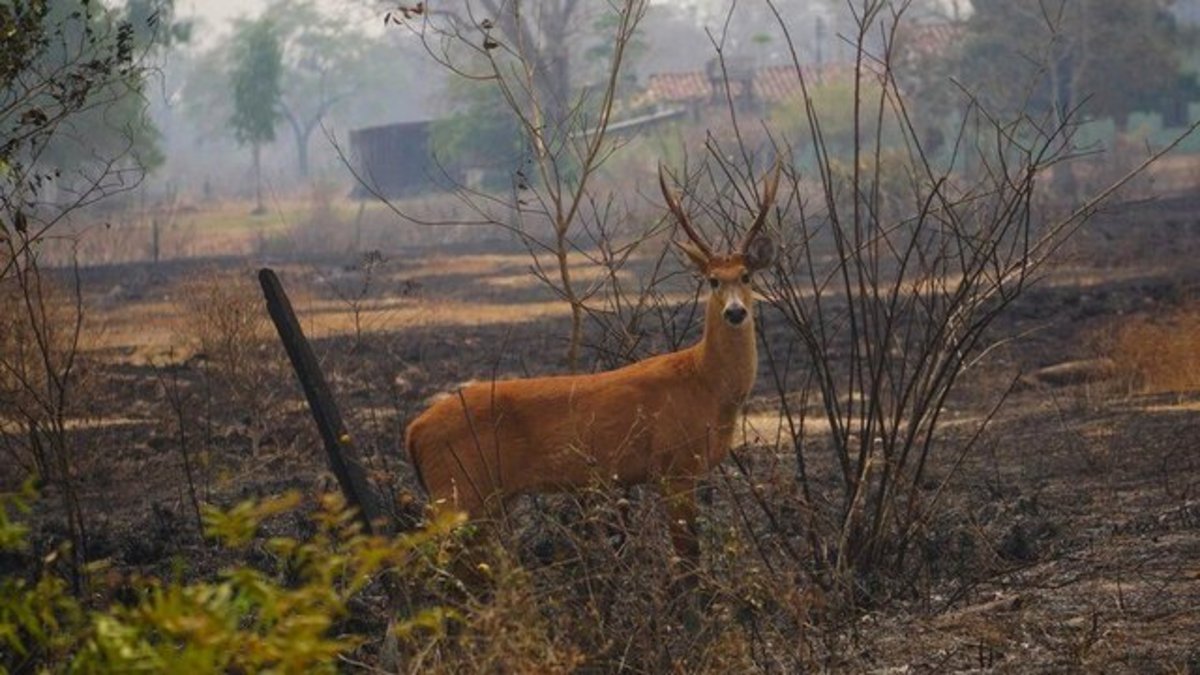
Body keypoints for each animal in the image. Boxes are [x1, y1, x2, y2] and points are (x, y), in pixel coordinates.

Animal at [408, 163, 782, 566]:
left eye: (746, 276)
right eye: (712, 280)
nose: (735, 312)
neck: (706, 384)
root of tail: (413, 432)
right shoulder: (675, 467)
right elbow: (688, 561)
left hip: (483, 497)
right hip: (457, 489)